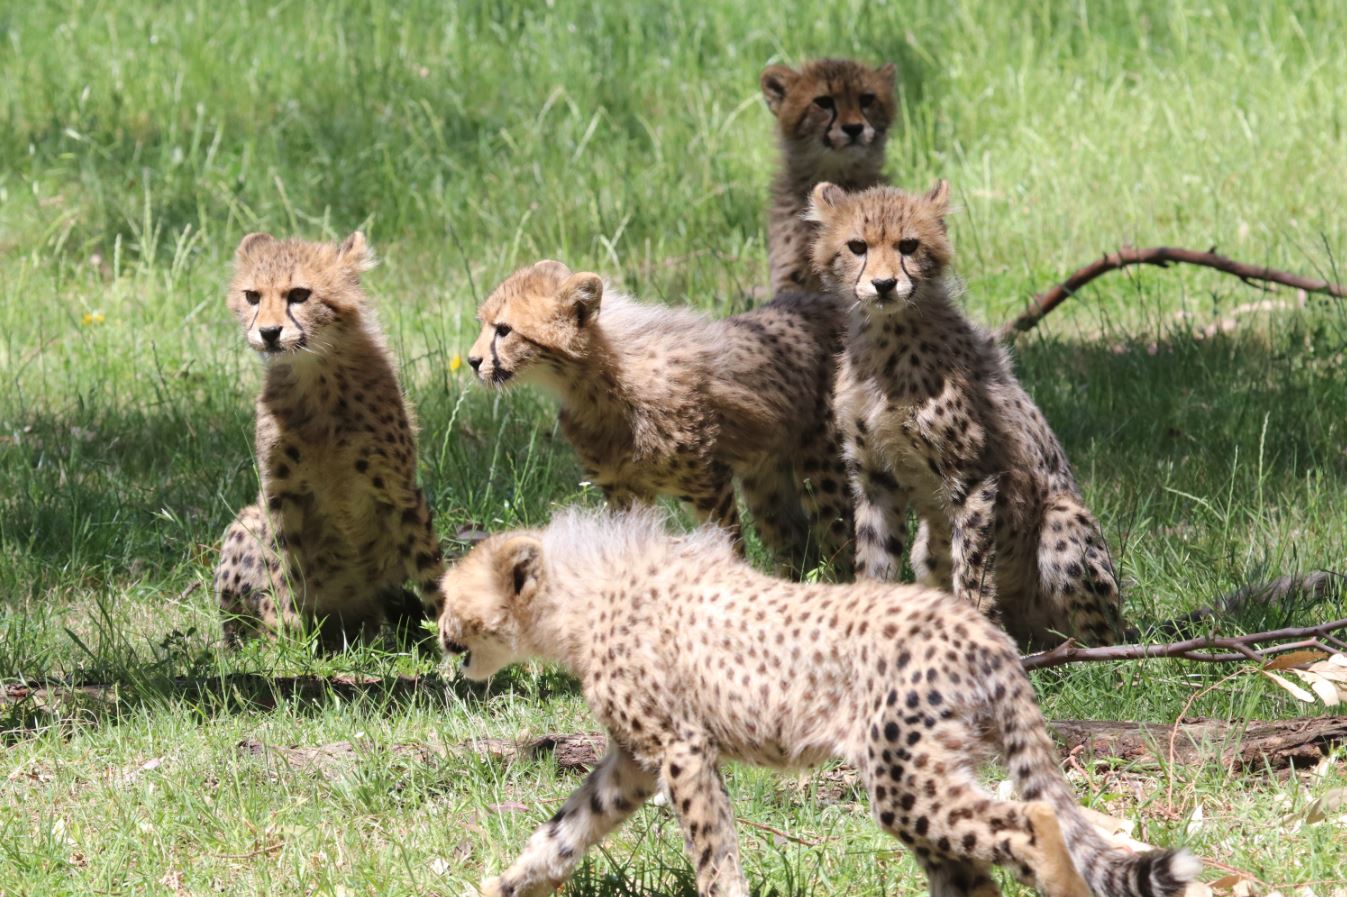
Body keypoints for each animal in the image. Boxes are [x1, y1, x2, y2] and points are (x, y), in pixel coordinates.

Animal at [214, 231, 445, 650]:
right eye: (252, 296)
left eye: (299, 294)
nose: (268, 333)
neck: (316, 375)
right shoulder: (279, 495)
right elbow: (282, 569)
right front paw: (284, 643)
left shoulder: (400, 491)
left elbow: (430, 570)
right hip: (246, 521)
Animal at [437, 507, 1199, 897]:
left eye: (448, 598)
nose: (438, 633)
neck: (579, 596)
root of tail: (980, 626)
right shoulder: (633, 760)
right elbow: (565, 829)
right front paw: (505, 884)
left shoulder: (681, 747)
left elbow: (712, 851)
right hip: (926, 771)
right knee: (971, 867)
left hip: (902, 777)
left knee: (1033, 822)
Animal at [464, 259, 852, 577]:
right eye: (483, 324)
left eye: (504, 329)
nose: (471, 361)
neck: (600, 382)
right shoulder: (624, 493)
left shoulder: (708, 487)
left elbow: (728, 551)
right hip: (767, 482)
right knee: (795, 544)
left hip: (826, 473)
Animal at [807, 180, 1126, 649]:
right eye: (857, 246)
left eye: (908, 245)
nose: (884, 285)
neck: (886, 337)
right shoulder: (875, 478)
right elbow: (874, 560)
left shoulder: (974, 478)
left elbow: (973, 571)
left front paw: (981, 635)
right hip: (925, 548)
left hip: (1062, 524)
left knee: (1104, 640)